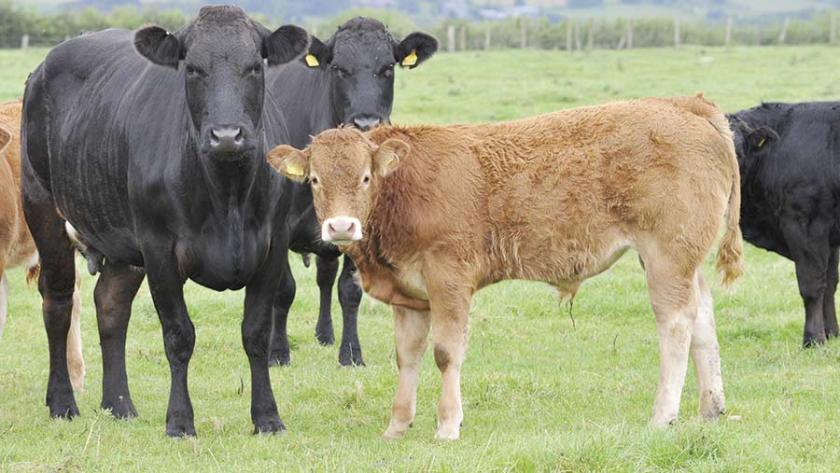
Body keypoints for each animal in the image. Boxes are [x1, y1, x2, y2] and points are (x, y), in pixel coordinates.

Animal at [22, 6, 309, 436]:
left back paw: (119, 403)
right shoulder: (159, 249)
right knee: (57, 301)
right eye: (192, 68)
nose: (227, 135)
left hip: (122, 241)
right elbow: (178, 335)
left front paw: (267, 417)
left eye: (254, 67)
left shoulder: (273, 244)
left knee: (111, 305)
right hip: (43, 209)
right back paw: (62, 402)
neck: (228, 195)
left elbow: (257, 332)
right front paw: (179, 421)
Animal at [265, 17, 437, 366]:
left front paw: (350, 353)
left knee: (325, 276)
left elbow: (349, 290)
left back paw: (325, 334)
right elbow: (284, 290)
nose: (367, 122)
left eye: (388, 67)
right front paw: (278, 352)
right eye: (339, 68)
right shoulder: (281, 226)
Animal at [267, 95, 743, 440]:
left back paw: (663, 415)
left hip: (667, 254)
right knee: (702, 316)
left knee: (676, 323)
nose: (341, 226)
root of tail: (683, 103)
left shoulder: (449, 280)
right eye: (314, 180)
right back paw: (711, 407)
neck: (403, 189)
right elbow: (407, 357)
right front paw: (397, 426)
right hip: (681, 259)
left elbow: (445, 353)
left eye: (365, 177)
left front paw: (447, 425)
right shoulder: (409, 294)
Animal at [729, 102, 840, 347]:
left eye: (738, 153)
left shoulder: (806, 226)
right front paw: (832, 334)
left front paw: (813, 339)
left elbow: (812, 286)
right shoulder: (830, 236)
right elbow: (829, 284)